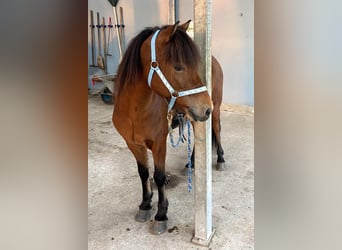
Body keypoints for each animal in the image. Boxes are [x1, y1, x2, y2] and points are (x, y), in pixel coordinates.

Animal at [112, 21, 224, 234]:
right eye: (178, 67)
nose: (206, 107)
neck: (135, 110)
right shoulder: (133, 144)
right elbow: (143, 173)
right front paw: (145, 205)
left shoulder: (159, 143)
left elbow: (159, 176)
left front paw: (161, 215)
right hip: (193, 116)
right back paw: (191, 162)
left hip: (214, 109)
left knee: (217, 129)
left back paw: (221, 158)